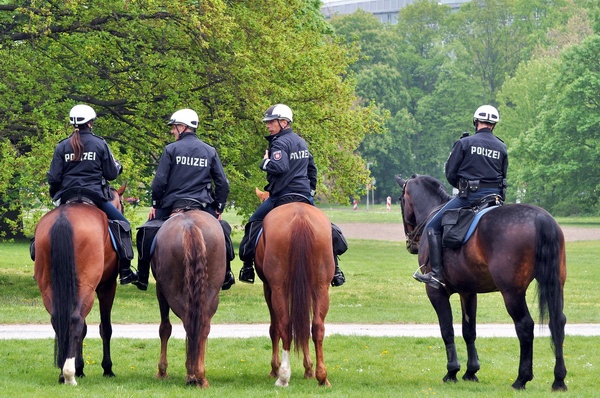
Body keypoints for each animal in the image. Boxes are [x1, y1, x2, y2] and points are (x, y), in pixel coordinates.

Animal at [33, 185, 125, 384]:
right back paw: (69, 373)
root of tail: (63, 219)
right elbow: (105, 328)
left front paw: (80, 367)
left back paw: (63, 372)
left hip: (48, 287)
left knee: (59, 319)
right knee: (76, 319)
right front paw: (107, 368)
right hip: (87, 288)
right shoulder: (107, 286)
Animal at [151, 210, 226, 388]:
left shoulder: (160, 292)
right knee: (201, 327)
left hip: (171, 293)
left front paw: (162, 371)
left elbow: (165, 328)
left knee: (187, 323)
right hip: (211, 295)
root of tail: (190, 226)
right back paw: (199, 375)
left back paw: (193, 374)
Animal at [254, 198, 336, 386]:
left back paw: (283, 376)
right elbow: (303, 326)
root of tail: (300, 217)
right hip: (321, 287)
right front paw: (309, 369)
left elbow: (275, 328)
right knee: (317, 327)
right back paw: (322, 377)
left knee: (284, 326)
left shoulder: (269, 289)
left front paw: (275, 368)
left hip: (278, 289)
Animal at [396, 175, 564, 392]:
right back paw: (559, 380)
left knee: (525, 326)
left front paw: (452, 371)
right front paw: (471, 371)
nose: (411, 243)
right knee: (558, 321)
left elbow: (447, 330)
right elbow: (469, 331)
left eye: (401, 200)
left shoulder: (436, 293)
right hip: (555, 285)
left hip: (512, 293)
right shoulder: (468, 293)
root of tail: (540, 218)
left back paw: (522, 378)